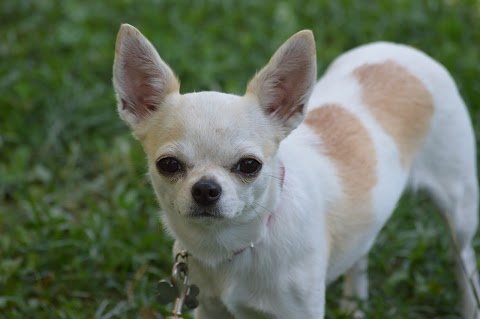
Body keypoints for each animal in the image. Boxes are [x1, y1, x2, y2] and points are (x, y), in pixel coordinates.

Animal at [113, 23, 480, 318]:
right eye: (168, 165)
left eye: (249, 165)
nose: (205, 188)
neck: (234, 246)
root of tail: (399, 51)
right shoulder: (210, 308)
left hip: (458, 209)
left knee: (463, 259)